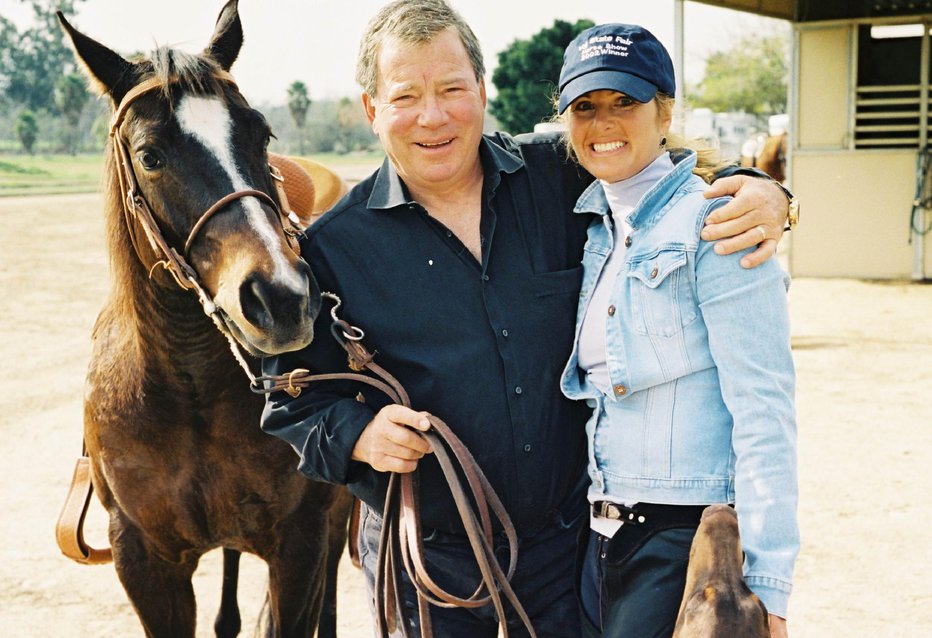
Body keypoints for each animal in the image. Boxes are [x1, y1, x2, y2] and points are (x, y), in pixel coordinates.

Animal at [57, 2, 354, 636]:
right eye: (151, 156)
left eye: (261, 134)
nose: (282, 297)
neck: (185, 387)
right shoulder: (144, 559)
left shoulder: (301, 542)